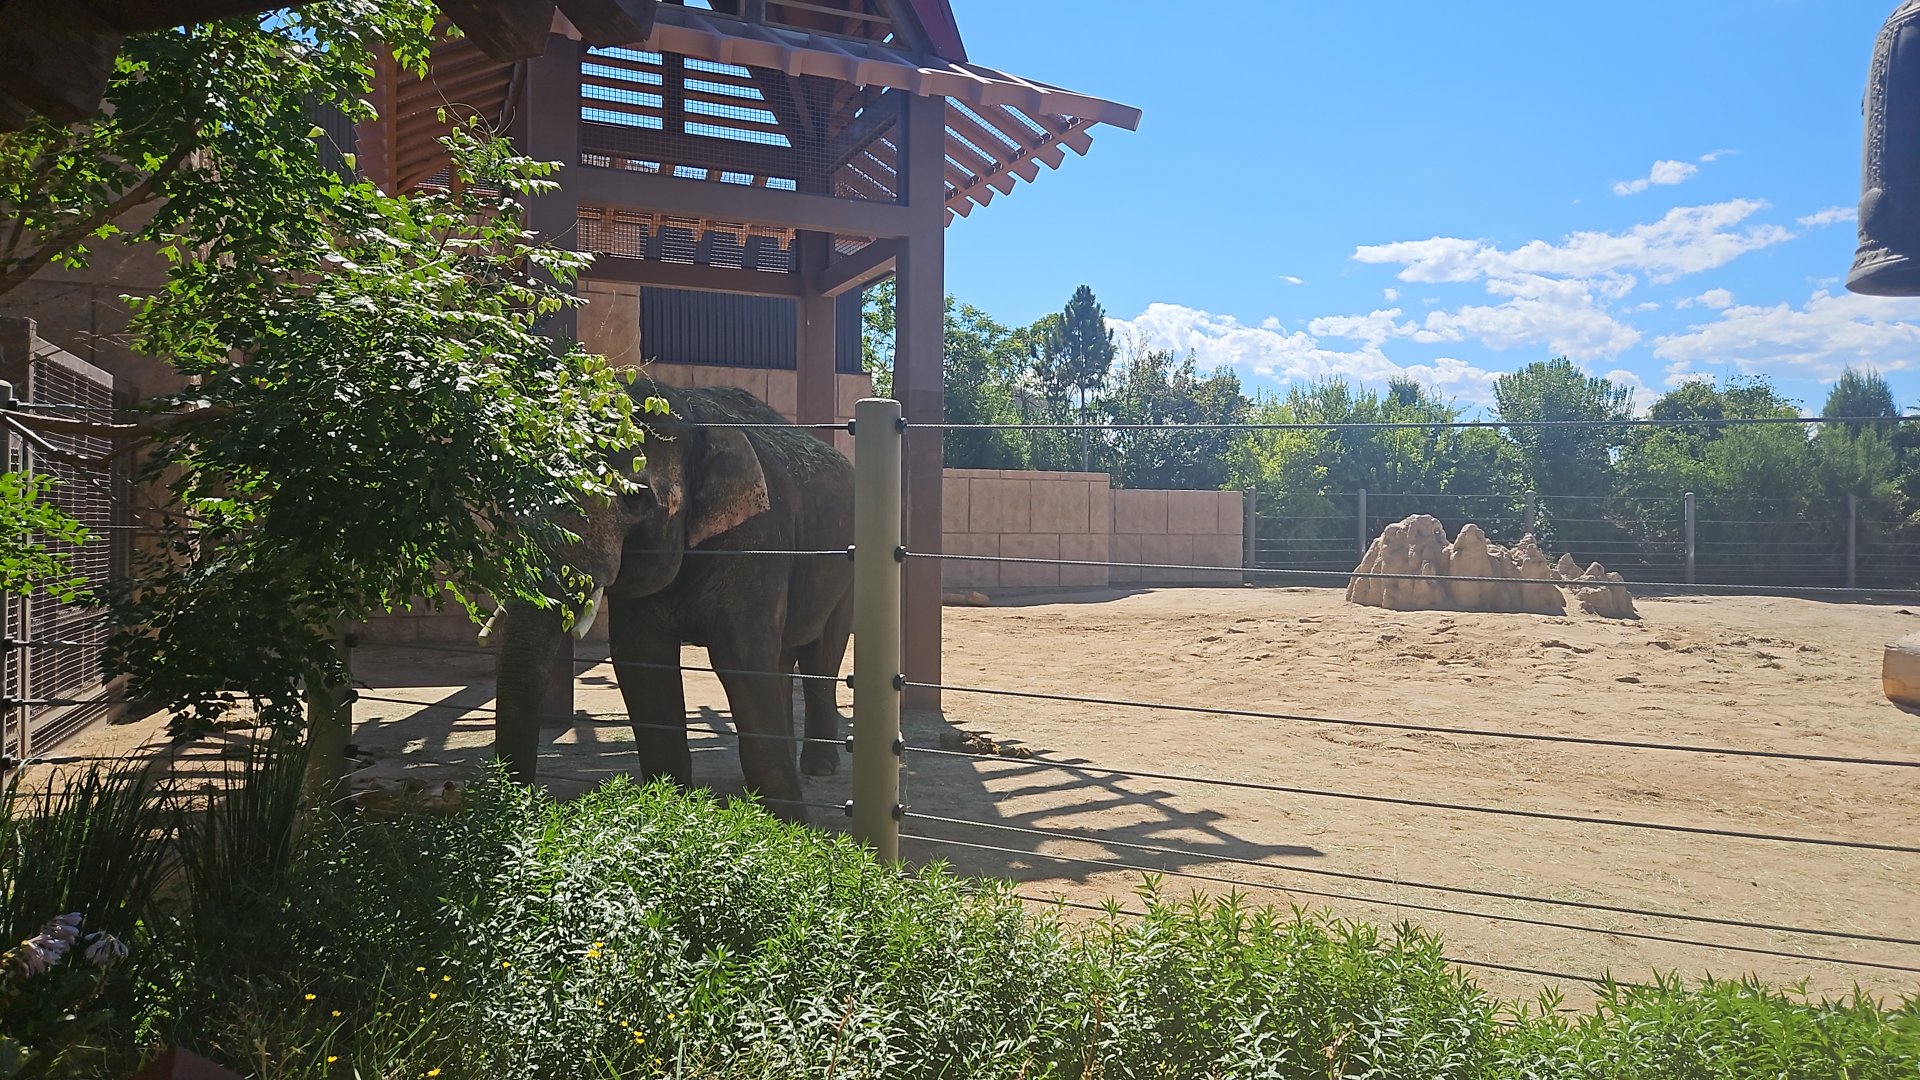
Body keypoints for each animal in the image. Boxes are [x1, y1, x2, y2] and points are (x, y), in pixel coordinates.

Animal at [489, 382, 855, 822]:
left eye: (633, 498)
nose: (524, 802)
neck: (690, 415)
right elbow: (641, 661)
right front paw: (668, 805)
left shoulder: (757, 538)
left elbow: (742, 659)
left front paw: (789, 826)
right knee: (782, 660)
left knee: (822, 657)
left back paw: (820, 769)